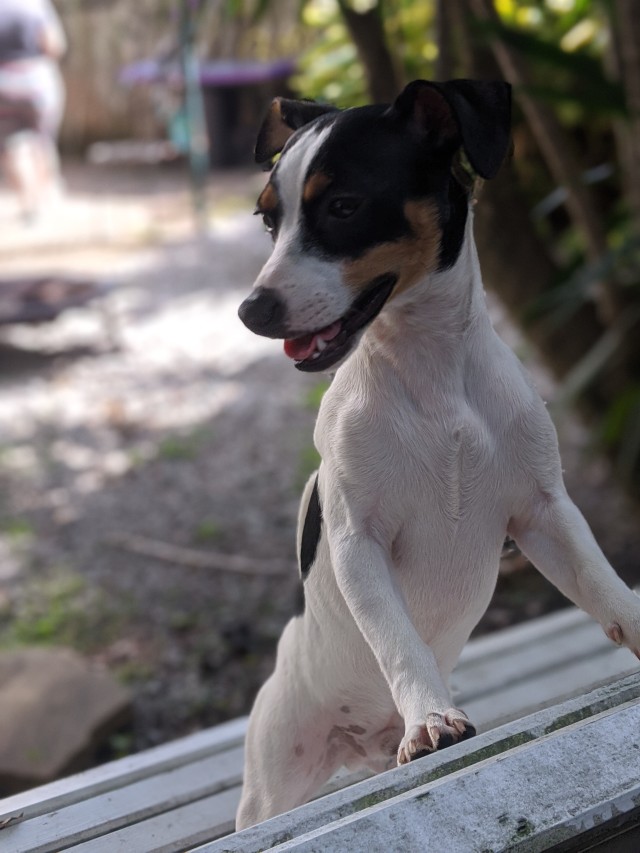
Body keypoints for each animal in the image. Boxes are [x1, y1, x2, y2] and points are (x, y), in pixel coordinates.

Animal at [235, 78, 640, 824]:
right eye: (268, 221)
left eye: (343, 206)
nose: (252, 310)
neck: (435, 381)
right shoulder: (358, 540)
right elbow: (398, 638)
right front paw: (429, 719)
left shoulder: (544, 514)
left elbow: (606, 588)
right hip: (275, 782)